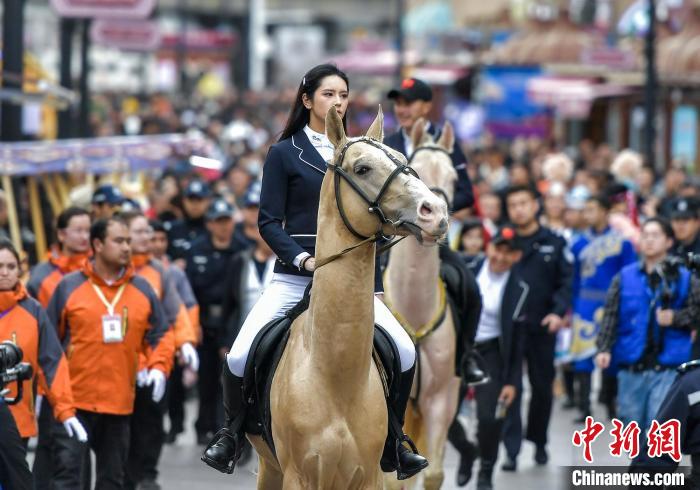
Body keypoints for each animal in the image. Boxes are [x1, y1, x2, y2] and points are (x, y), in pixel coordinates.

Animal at [246, 108, 448, 490]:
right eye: (363, 168)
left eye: (402, 160)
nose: (436, 212)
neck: (335, 376)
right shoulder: (299, 476)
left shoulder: (369, 476)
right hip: (270, 468)